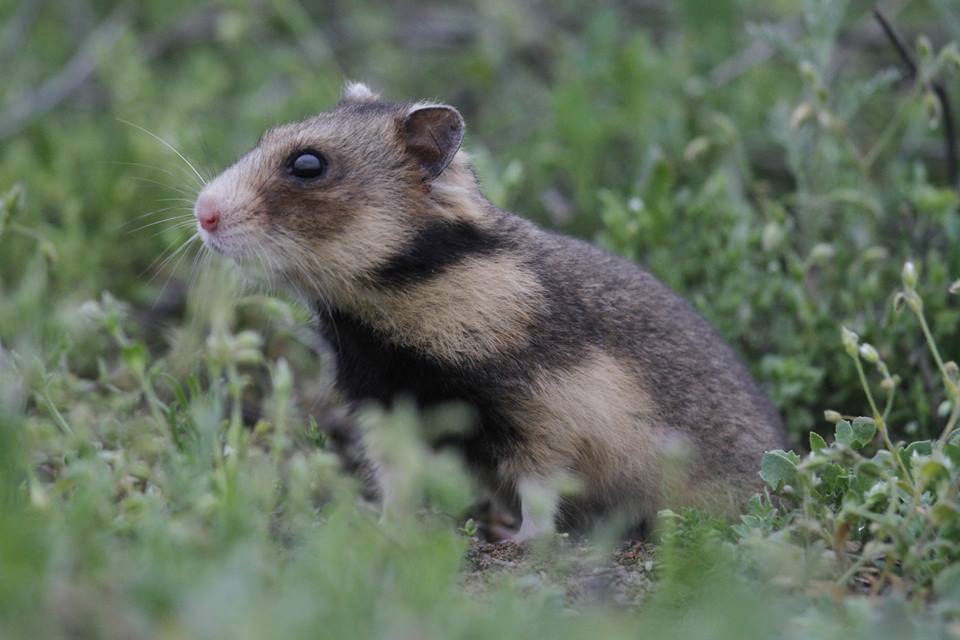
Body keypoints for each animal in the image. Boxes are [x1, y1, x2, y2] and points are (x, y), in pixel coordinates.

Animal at [191, 81, 784, 540]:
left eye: (308, 164)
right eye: (267, 136)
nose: (202, 213)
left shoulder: (542, 416)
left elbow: (540, 491)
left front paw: (522, 542)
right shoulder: (386, 410)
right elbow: (396, 481)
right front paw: (383, 528)